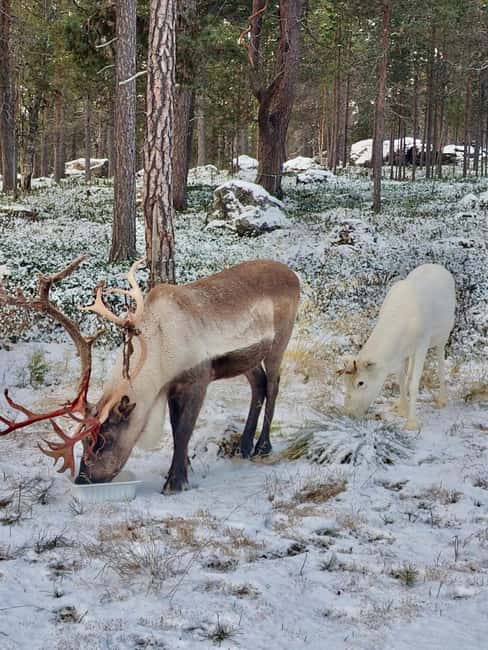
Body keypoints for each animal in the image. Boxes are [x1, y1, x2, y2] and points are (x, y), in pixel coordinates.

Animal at [0, 257, 300, 493]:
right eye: (84, 439)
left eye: (103, 441)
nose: (82, 479)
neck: (160, 349)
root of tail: (294, 275)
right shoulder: (173, 387)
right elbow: (178, 429)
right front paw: (181, 470)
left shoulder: (198, 379)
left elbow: (183, 431)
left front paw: (175, 482)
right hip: (249, 358)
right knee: (258, 385)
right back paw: (244, 446)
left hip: (280, 340)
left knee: (273, 385)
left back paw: (263, 446)